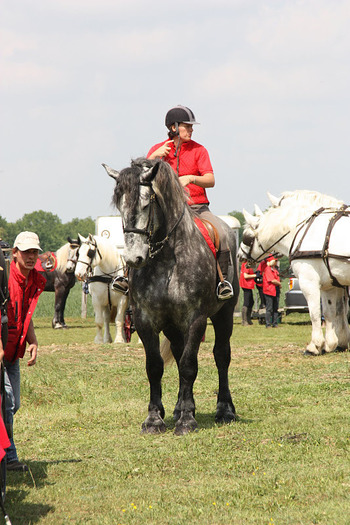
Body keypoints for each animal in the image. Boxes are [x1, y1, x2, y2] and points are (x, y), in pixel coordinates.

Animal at [239, 190, 350, 354]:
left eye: (247, 237)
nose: (239, 256)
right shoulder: (331, 284)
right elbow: (332, 311)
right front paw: (334, 343)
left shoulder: (309, 281)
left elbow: (315, 313)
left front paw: (315, 346)